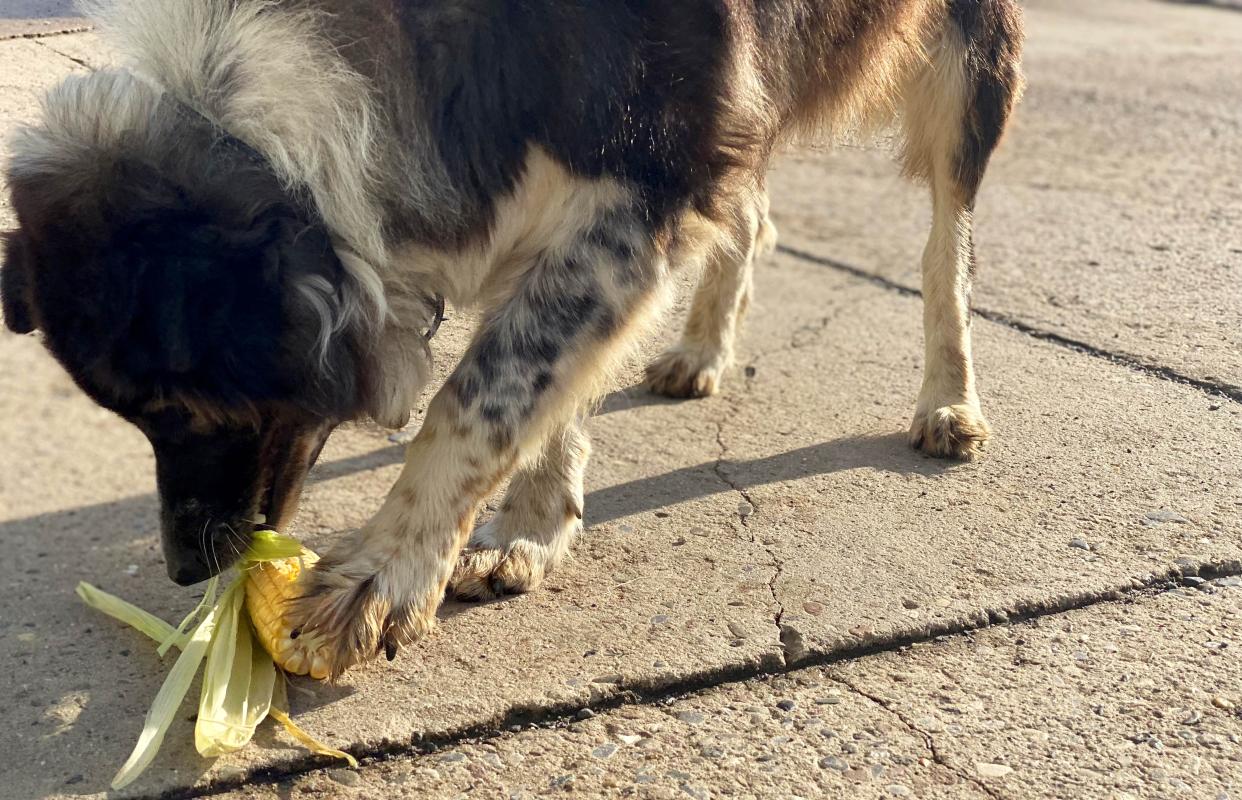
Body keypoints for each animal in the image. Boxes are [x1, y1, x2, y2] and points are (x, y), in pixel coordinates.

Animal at [2, 0, 1018, 675]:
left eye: (186, 410)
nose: (187, 572)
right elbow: (552, 382)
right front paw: (531, 526)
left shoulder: (644, 180)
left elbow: (482, 393)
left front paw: (383, 576)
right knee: (752, 208)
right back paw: (701, 348)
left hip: (969, 67)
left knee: (948, 245)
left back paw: (949, 398)